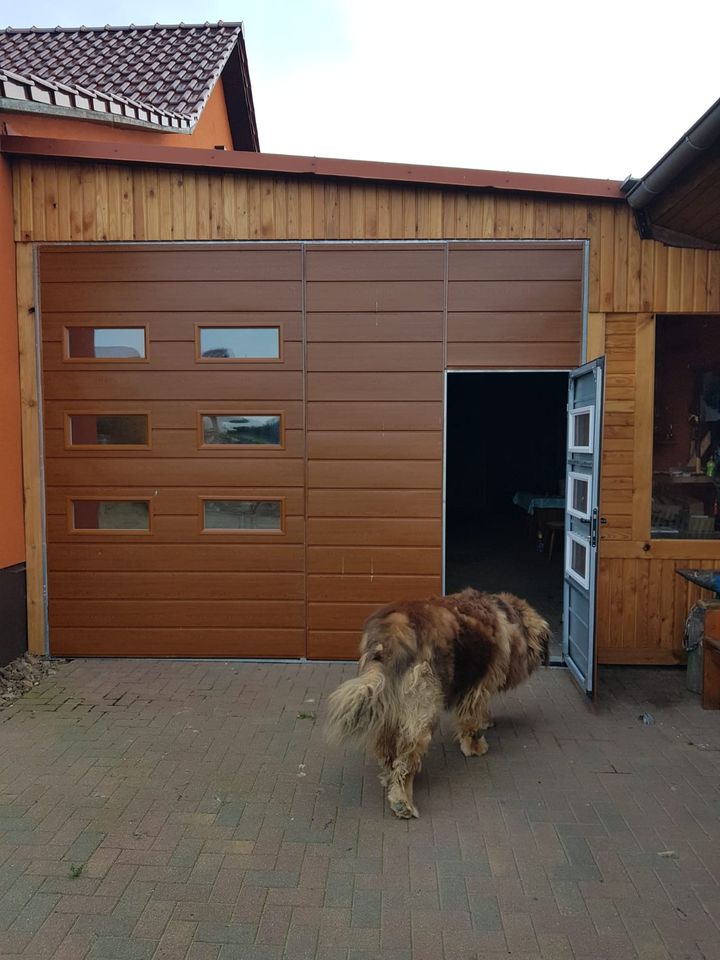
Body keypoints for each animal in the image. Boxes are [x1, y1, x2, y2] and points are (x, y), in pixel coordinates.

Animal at [326, 588, 552, 820]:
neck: (505, 616)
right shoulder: (478, 686)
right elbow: (471, 721)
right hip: (423, 711)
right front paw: (475, 746)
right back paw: (403, 801)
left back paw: (389, 779)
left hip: (388, 707)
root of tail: (392, 632)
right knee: (405, 763)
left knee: (389, 752)